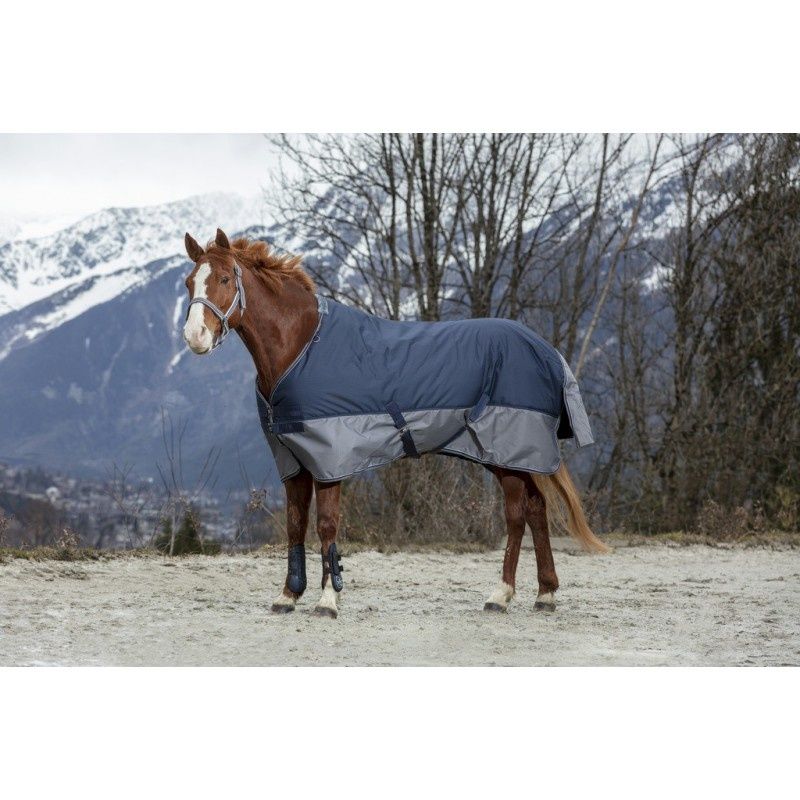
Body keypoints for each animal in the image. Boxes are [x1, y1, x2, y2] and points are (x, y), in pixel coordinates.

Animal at [182, 229, 609, 618]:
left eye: (225, 278)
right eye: (189, 282)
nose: (194, 336)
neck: (300, 348)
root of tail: (546, 350)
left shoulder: (330, 459)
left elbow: (326, 525)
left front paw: (328, 600)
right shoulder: (293, 460)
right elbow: (294, 524)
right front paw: (288, 596)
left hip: (506, 450)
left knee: (518, 514)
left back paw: (502, 595)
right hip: (505, 455)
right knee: (535, 508)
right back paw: (543, 594)